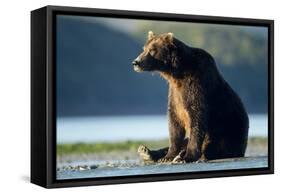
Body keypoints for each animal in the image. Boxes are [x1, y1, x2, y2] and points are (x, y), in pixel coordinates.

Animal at [131, 31, 247, 162]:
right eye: (144, 48)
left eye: (152, 50)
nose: (136, 62)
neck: (176, 73)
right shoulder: (175, 93)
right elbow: (174, 123)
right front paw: (168, 156)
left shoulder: (196, 84)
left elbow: (196, 117)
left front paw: (188, 156)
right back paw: (146, 152)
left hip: (229, 131)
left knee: (215, 144)